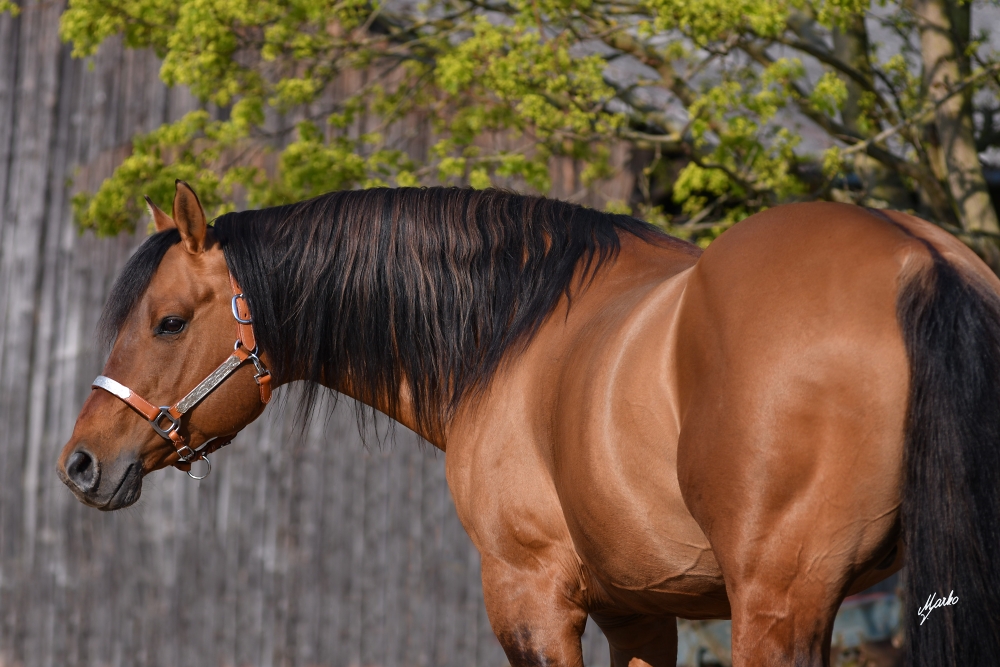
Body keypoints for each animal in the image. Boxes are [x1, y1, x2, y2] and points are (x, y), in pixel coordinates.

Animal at [58, 181, 996, 667]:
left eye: (168, 321)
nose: (81, 461)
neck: (508, 334)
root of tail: (919, 256)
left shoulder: (531, 600)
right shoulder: (639, 614)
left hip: (779, 604)